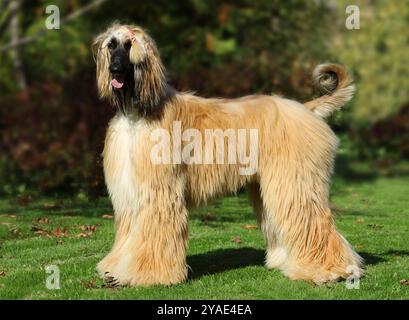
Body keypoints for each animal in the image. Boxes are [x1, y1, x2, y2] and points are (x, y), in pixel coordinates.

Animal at [91, 23, 360, 286]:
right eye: (112, 45)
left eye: (130, 45)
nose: (115, 70)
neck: (139, 113)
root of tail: (305, 109)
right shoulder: (130, 192)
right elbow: (128, 235)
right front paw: (116, 269)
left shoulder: (159, 192)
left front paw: (148, 275)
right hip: (269, 184)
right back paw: (286, 262)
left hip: (296, 180)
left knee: (314, 221)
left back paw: (332, 270)